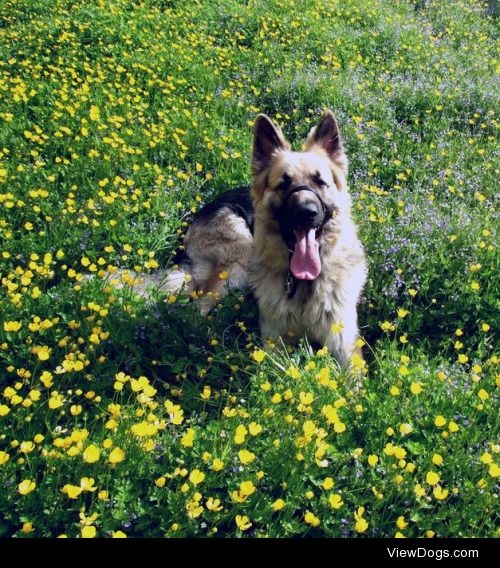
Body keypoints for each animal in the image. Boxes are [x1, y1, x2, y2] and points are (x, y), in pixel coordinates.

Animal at [104, 111, 368, 368]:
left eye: (320, 182)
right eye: (283, 184)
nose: (306, 213)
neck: (303, 283)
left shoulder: (346, 343)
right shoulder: (273, 339)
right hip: (240, 259)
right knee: (194, 311)